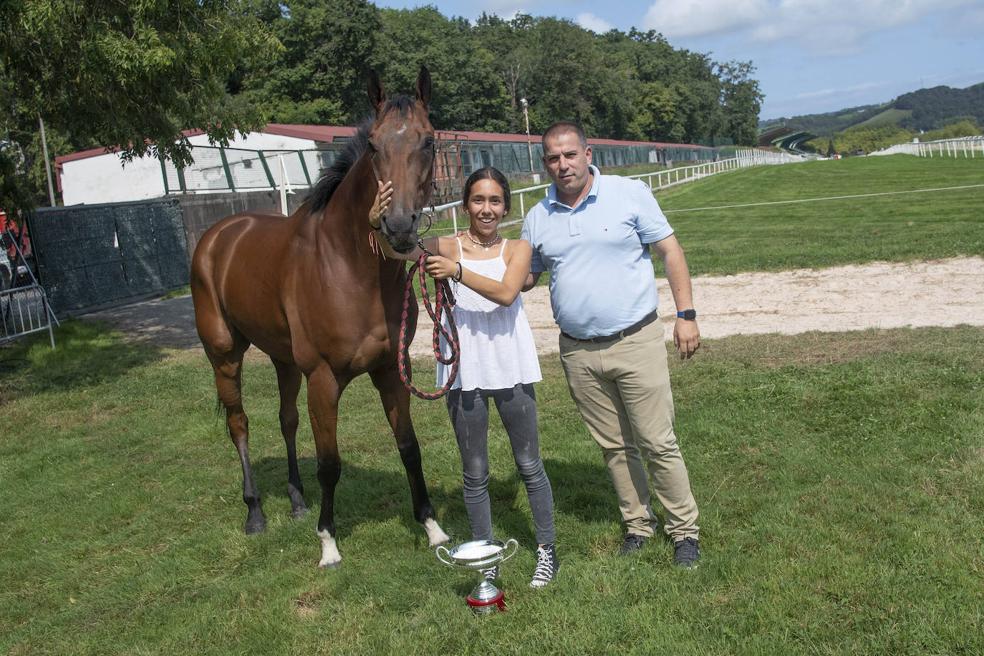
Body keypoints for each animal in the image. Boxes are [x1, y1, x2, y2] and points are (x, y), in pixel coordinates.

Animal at [190, 67, 449, 568]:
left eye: (428, 141)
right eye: (374, 146)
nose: (398, 227)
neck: (348, 266)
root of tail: (218, 235)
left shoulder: (391, 372)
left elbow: (409, 448)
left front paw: (433, 528)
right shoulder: (325, 379)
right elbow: (330, 464)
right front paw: (328, 543)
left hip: (285, 362)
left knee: (286, 420)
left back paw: (295, 501)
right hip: (225, 355)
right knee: (239, 424)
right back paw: (255, 513)